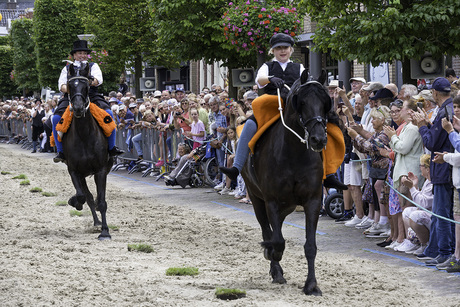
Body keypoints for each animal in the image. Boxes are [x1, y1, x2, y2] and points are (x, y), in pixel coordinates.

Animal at [62, 63, 113, 241]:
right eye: (70, 85)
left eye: (86, 87)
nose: (77, 108)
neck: (84, 134)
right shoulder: (74, 171)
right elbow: (83, 196)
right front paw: (74, 202)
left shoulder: (100, 170)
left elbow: (102, 201)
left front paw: (105, 231)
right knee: (87, 196)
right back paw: (95, 221)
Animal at [243, 70, 332, 296]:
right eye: (302, 102)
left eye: (325, 102)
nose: (319, 139)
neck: (295, 152)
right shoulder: (271, 201)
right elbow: (277, 241)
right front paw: (273, 258)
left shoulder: (312, 201)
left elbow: (310, 246)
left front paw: (311, 285)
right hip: (257, 198)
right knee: (268, 230)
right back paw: (275, 267)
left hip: (288, 205)